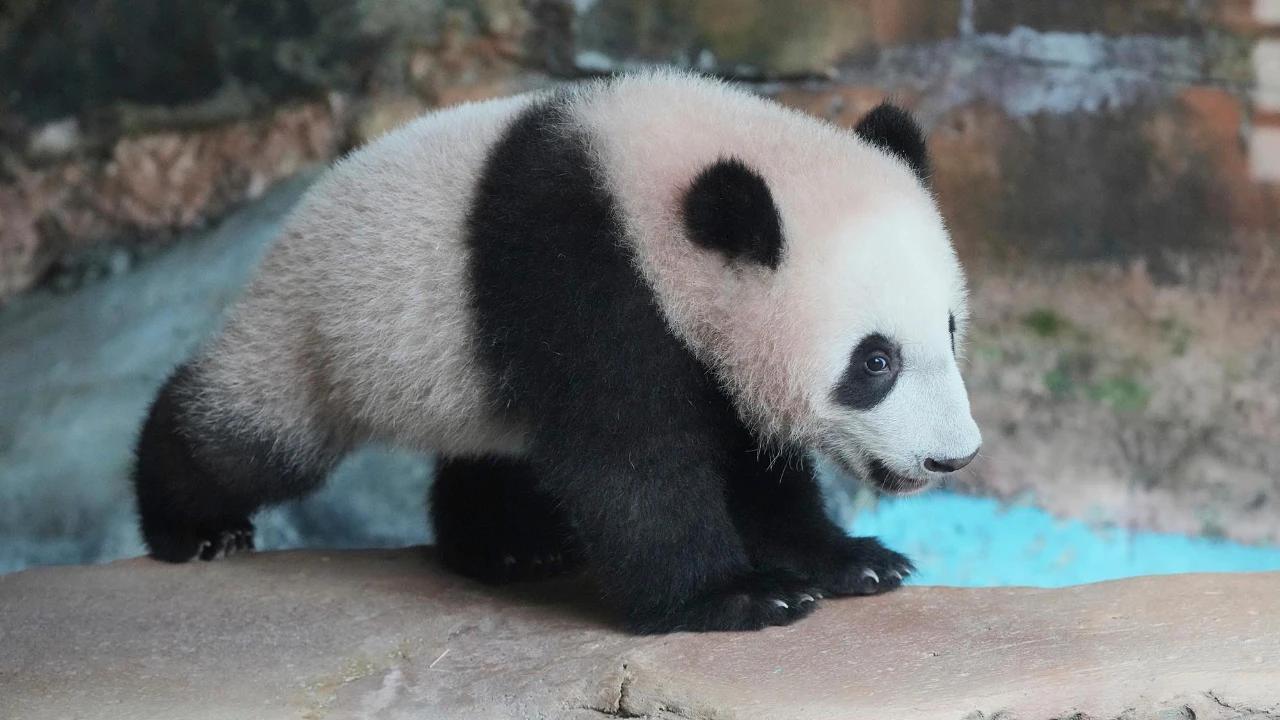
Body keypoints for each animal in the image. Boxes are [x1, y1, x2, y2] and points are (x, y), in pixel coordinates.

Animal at [133, 70, 982, 634]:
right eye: (875, 362)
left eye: (947, 328)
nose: (952, 457)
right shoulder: (577, 269)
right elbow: (631, 457)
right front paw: (733, 595)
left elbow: (750, 460)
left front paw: (851, 560)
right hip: (320, 332)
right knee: (254, 437)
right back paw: (194, 528)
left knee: (490, 453)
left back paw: (508, 548)